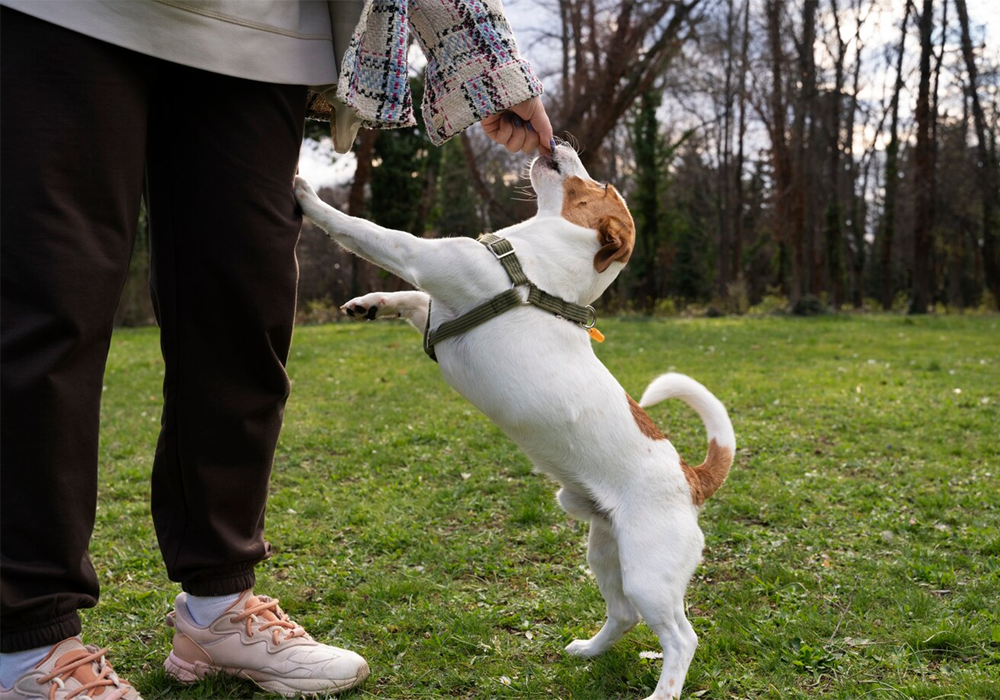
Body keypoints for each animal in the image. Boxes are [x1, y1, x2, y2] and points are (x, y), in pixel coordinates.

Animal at [292, 144, 736, 700]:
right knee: (623, 615)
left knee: (681, 637)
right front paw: (371, 305)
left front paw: (305, 193)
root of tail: (691, 479)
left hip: (648, 574)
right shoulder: (438, 304)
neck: (534, 268)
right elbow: (413, 300)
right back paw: (588, 651)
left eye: (602, 186)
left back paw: (663, 691)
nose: (560, 143)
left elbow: (365, 231)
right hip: (605, 553)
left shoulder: (426, 258)